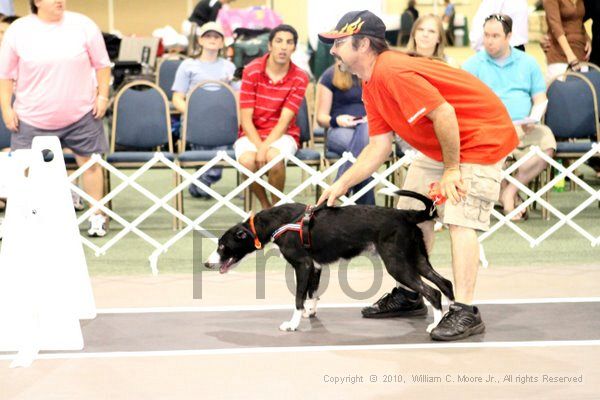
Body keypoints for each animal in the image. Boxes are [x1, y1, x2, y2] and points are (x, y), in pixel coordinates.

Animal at [206, 191, 454, 332]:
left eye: (222, 246)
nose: (207, 264)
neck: (279, 222)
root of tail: (405, 214)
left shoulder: (302, 265)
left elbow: (298, 298)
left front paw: (293, 324)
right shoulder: (314, 266)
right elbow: (312, 293)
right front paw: (310, 313)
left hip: (397, 264)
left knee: (432, 292)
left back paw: (435, 324)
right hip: (417, 259)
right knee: (445, 284)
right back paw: (449, 314)